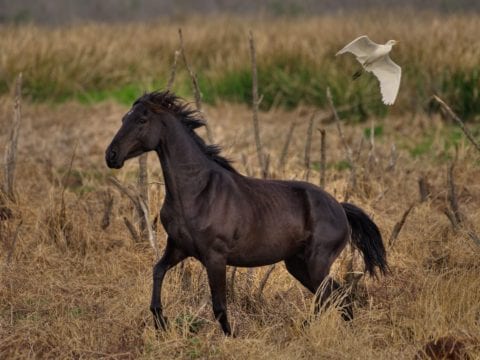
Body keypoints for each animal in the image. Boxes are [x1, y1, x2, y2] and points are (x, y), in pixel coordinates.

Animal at [107, 91, 388, 336]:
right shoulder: (177, 248)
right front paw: (160, 322)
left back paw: (303, 330)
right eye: (123, 119)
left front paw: (230, 337)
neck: (197, 191)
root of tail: (340, 207)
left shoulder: (215, 257)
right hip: (297, 263)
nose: (111, 156)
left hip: (316, 262)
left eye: (142, 120)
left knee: (329, 296)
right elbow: (158, 271)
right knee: (337, 297)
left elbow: (219, 305)